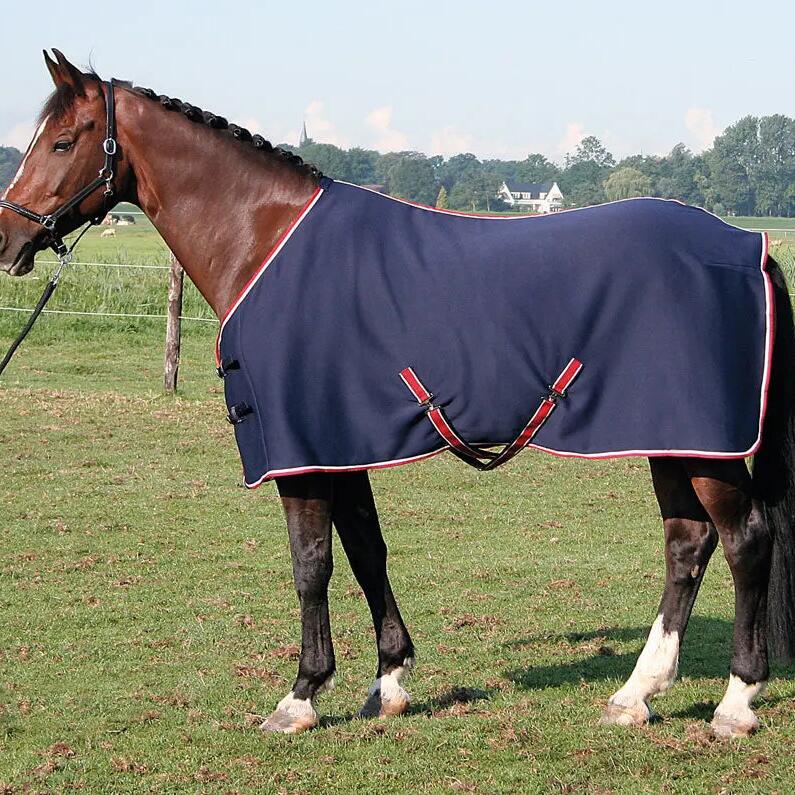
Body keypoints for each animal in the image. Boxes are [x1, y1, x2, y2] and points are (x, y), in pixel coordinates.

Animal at [1, 50, 794, 739]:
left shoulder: (301, 453)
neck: (266, 242)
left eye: (63, 140)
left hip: (705, 447)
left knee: (744, 542)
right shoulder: (340, 444)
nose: (9, 238)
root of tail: (748, 247)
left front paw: (301, 695)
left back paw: (735, 703)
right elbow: (366, 551)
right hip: (673, 440)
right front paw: (388, 680)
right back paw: (634, 694)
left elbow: (311, 564)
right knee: (687, 545)